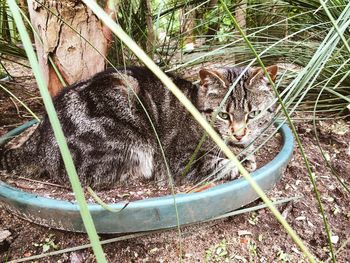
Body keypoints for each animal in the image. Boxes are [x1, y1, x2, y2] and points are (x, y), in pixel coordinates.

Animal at [1, 65, 278, 190]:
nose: (239, 133)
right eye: (223, 114)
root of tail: (40, 139)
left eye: (253, 114)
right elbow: (220, 164)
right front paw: (239, 162)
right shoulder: (182, 160)